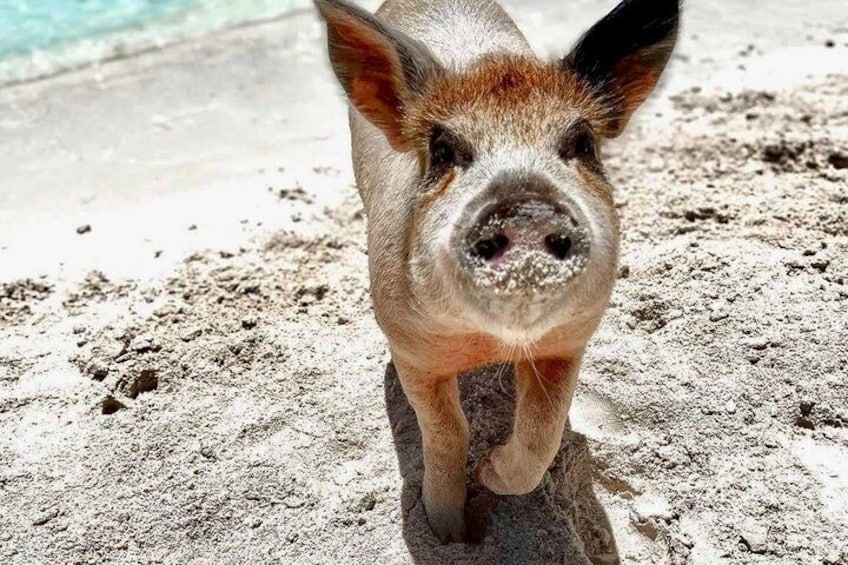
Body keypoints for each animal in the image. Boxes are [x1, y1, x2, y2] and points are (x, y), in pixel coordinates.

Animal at [314, 0, 679, 543]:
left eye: (582, 143)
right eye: (443, 149)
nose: (525, 209)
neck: (490, 341)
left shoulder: (569, 340)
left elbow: (542, 433)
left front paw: (489, 472)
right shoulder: (409, 349)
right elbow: (447, 432)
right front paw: (448, 533)